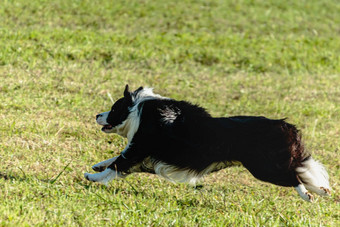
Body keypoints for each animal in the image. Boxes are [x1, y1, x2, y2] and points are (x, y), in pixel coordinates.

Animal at [83, 85, 330, 202]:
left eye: (114, 108)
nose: (96, 115)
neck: (137, 109)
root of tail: (285, 126)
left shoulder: (140, 147)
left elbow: (118, 163)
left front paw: (93, 177)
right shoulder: (143, 153)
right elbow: (114, 160)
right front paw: (96, 167)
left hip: (263, 168)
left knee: (293, 177)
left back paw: (307, 195)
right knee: (301, 173)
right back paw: (322, 191)